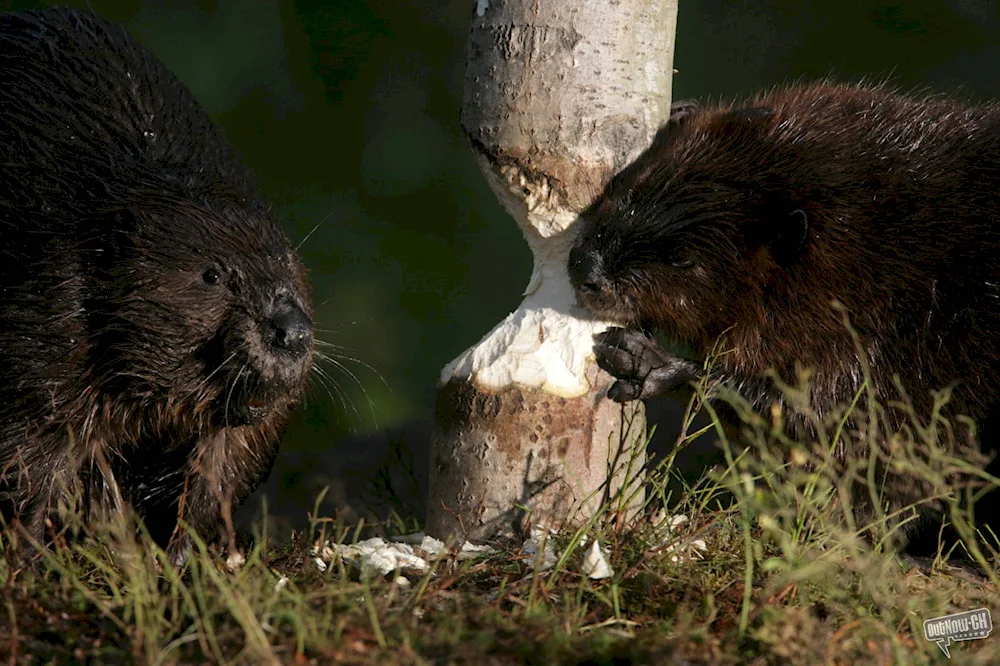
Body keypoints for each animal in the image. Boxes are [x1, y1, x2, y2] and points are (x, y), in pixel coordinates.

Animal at [0, 10, 312, 560]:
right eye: (212, 275)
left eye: (289, 265)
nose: (291, 333)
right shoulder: (46, 331)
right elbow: (32, 450)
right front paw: (31, 556)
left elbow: (221, 466)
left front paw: (187, 556)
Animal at [568, 80, 1000, 544]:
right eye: (630, 186)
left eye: (680, 256)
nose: (586, 268)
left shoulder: (886, 344)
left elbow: (828, 424)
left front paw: (646, 361)